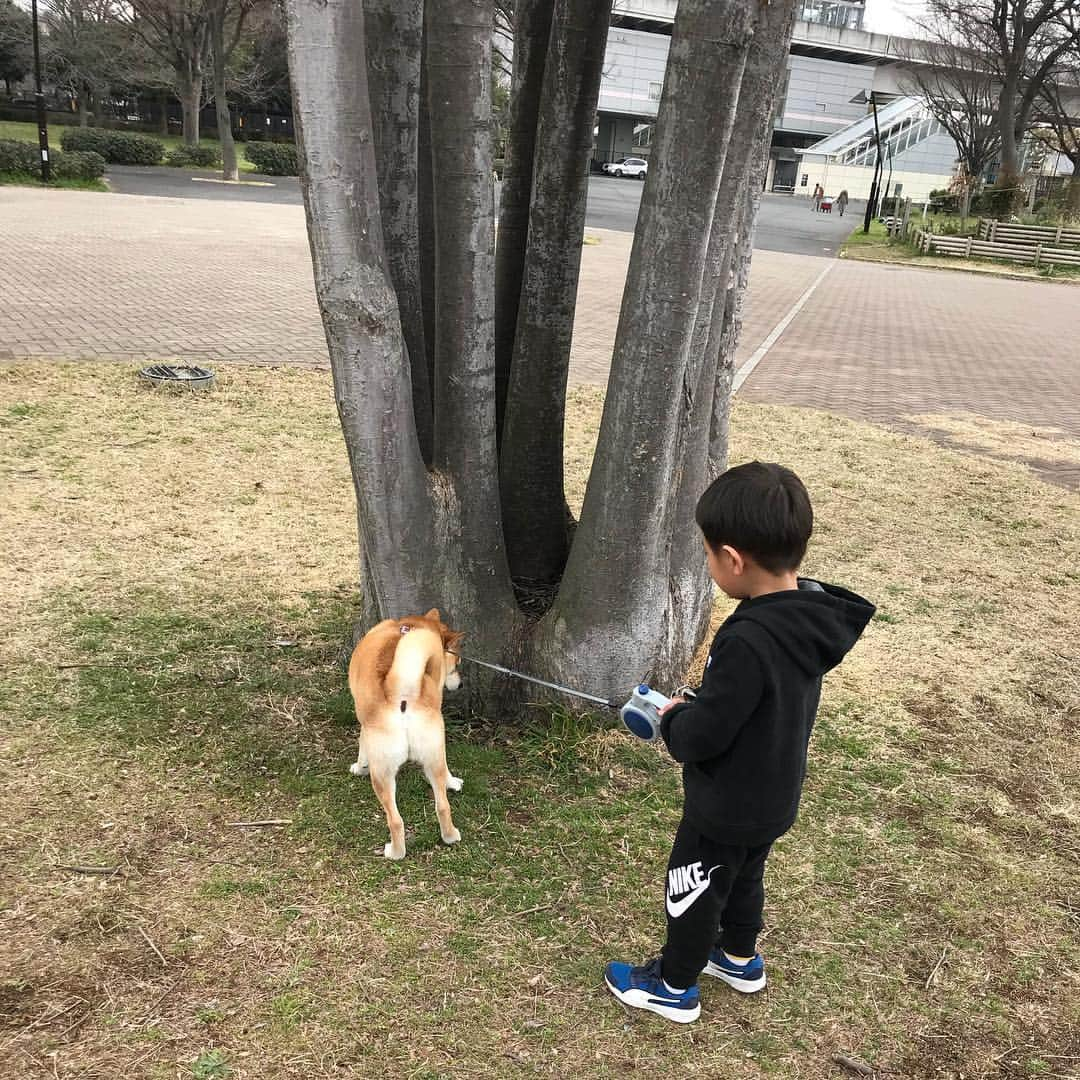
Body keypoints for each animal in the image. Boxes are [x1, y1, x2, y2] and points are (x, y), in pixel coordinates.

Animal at [345, 613, 464, 855]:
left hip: (381, 774)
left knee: (395, 820)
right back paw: (450, 836)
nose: (461, 685)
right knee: (443, 805)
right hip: (434, 754)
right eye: (457, 664)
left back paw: (395, 852)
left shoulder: (365, 724)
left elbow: (362, 748)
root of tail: (402, 693)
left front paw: (358, 768)